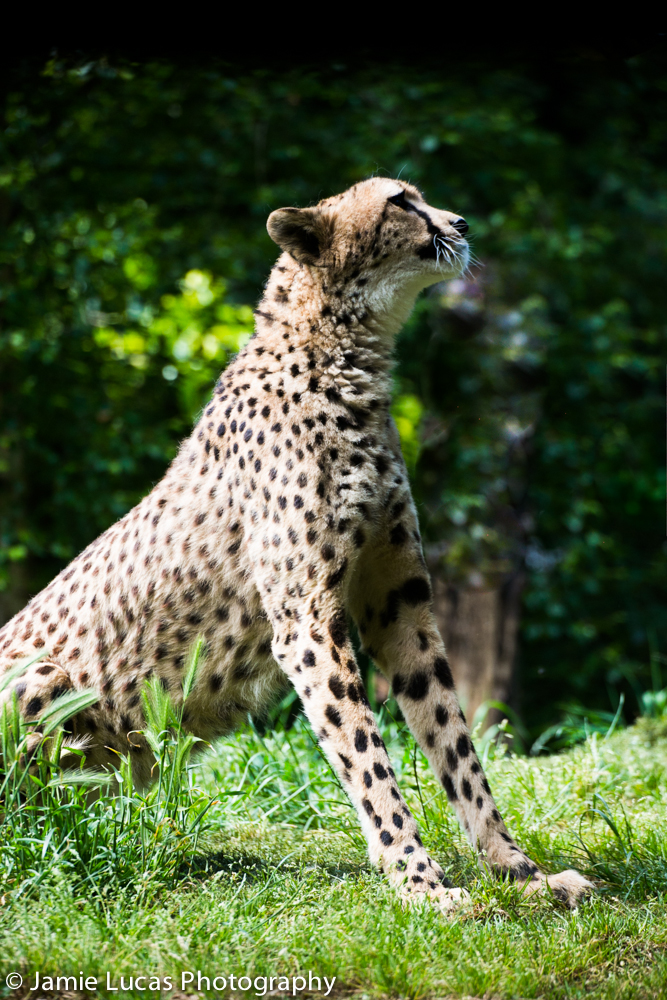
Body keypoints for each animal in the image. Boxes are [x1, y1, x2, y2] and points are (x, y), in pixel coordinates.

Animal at [0, 177, 591, 910]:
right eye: (400, 201)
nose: (460, 222)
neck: (347, 359)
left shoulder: (400, 605)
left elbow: (455, 747)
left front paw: (521, 874)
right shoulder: (307, 621)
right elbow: (367, 759)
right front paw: (421, 885)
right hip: (43, 676)